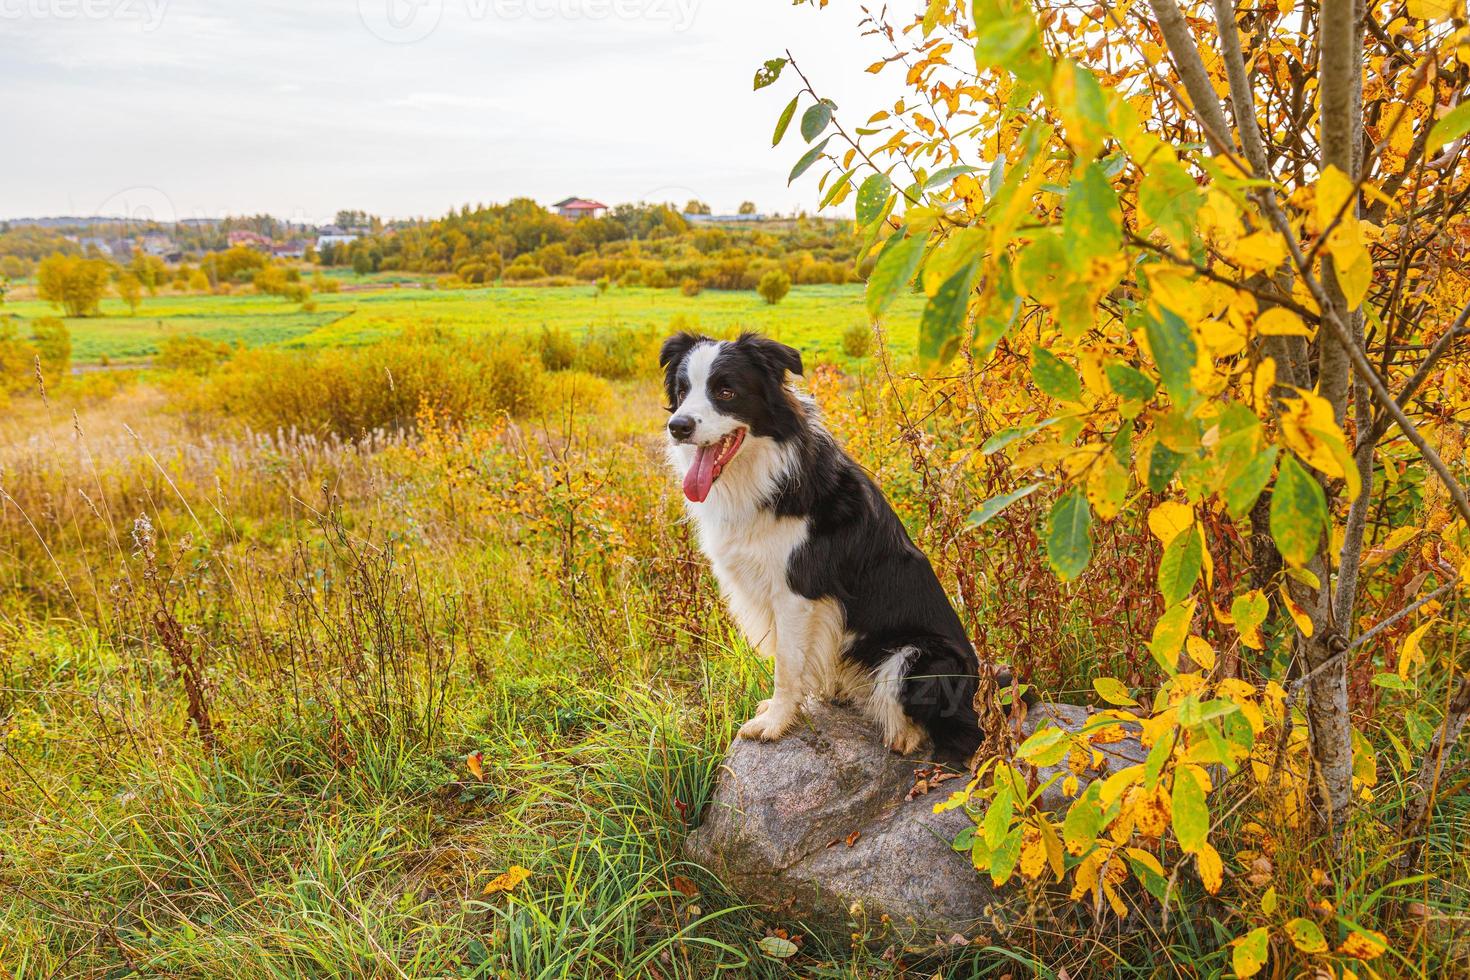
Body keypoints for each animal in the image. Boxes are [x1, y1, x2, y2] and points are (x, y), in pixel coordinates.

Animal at [661, 332, 981, 758]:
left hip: (921, 656)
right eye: (682, 392)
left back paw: (902, 735)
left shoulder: (798, 591)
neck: (763, 473)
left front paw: (775, 723)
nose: (677, 426)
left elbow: (786, 664)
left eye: (726, 391)